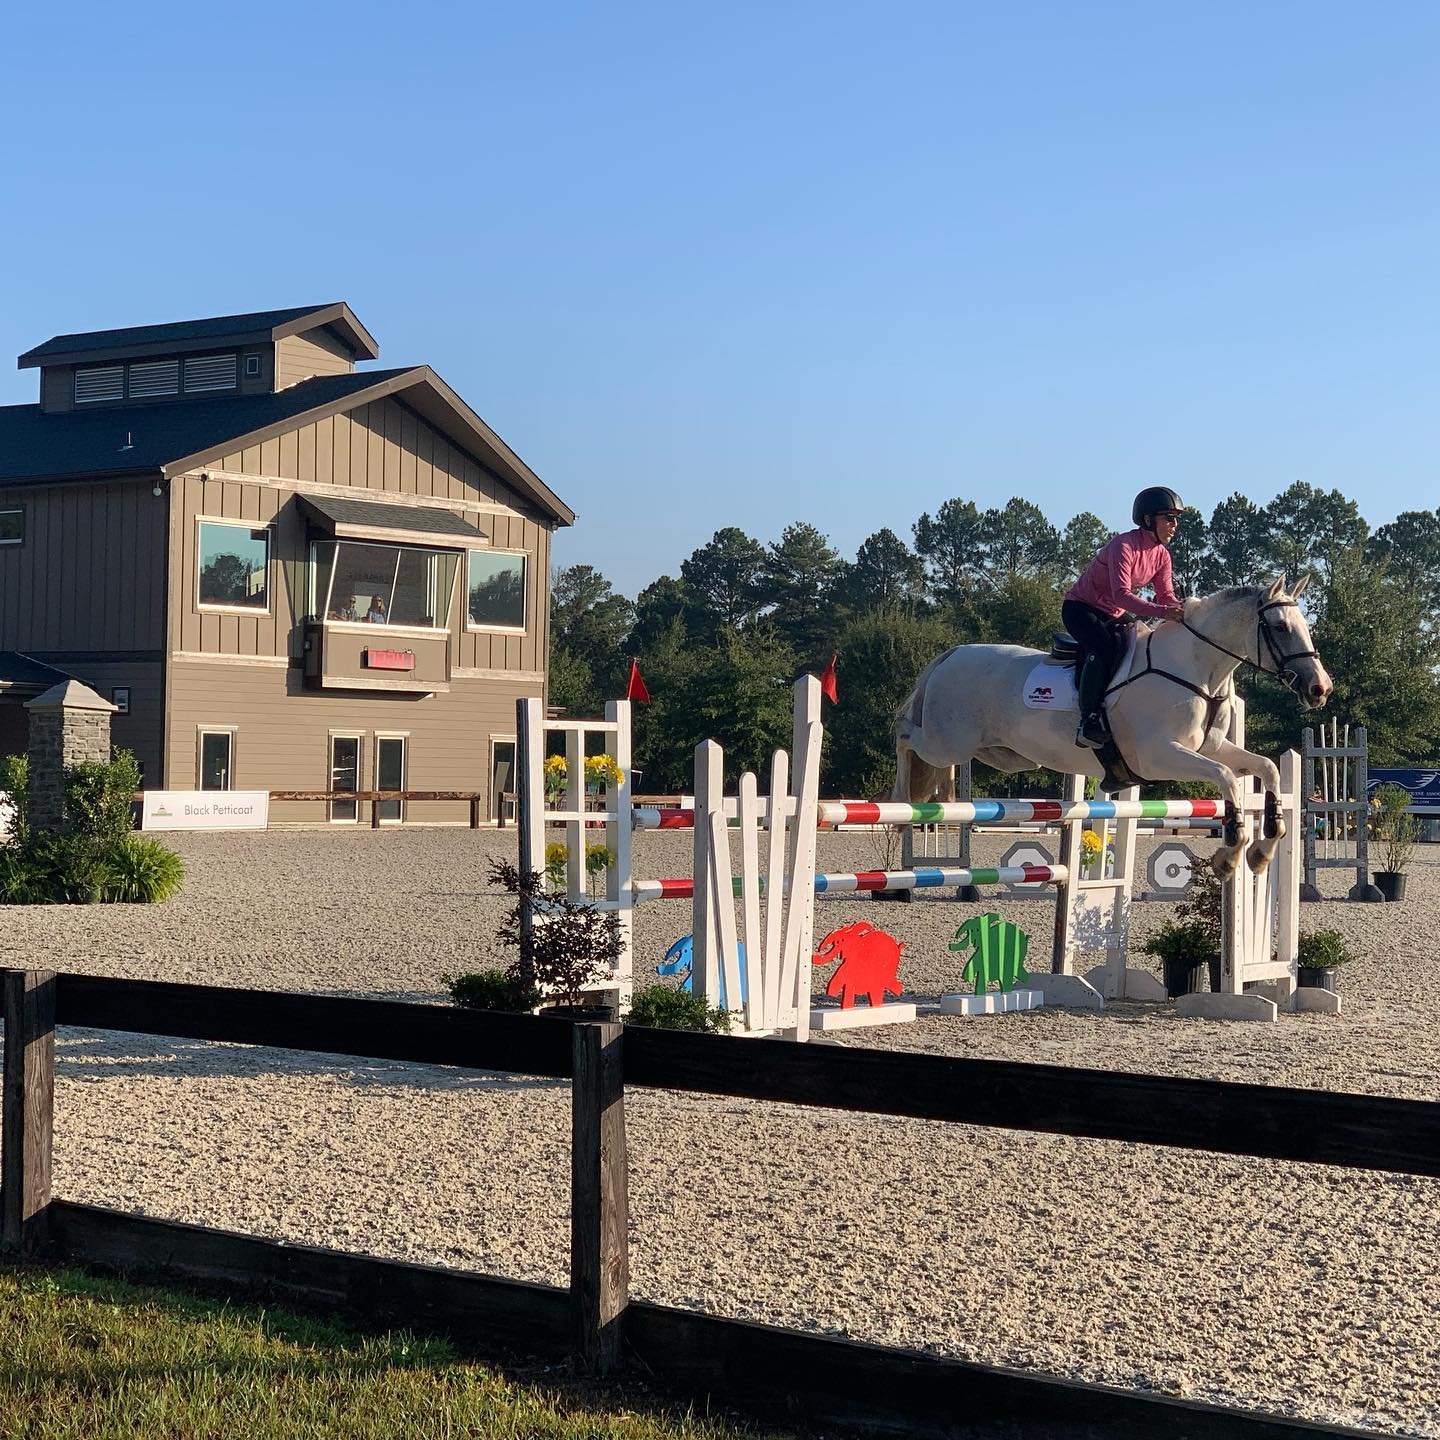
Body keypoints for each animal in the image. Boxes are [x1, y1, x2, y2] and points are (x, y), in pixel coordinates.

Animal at [892, 578, 1332, 878]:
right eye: (1280, 627)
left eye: (1305, 625)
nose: (1320, 689)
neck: (1197, 670)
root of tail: (952, 654)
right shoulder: (1158, 757)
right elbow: (1225, 777)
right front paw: (1231, 853)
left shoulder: (1209, 747)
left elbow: (1266, 768)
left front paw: (1262, 851)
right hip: (945, 741)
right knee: (904, 734)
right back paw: (902, 804)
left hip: (998, 755)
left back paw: (946, 797)